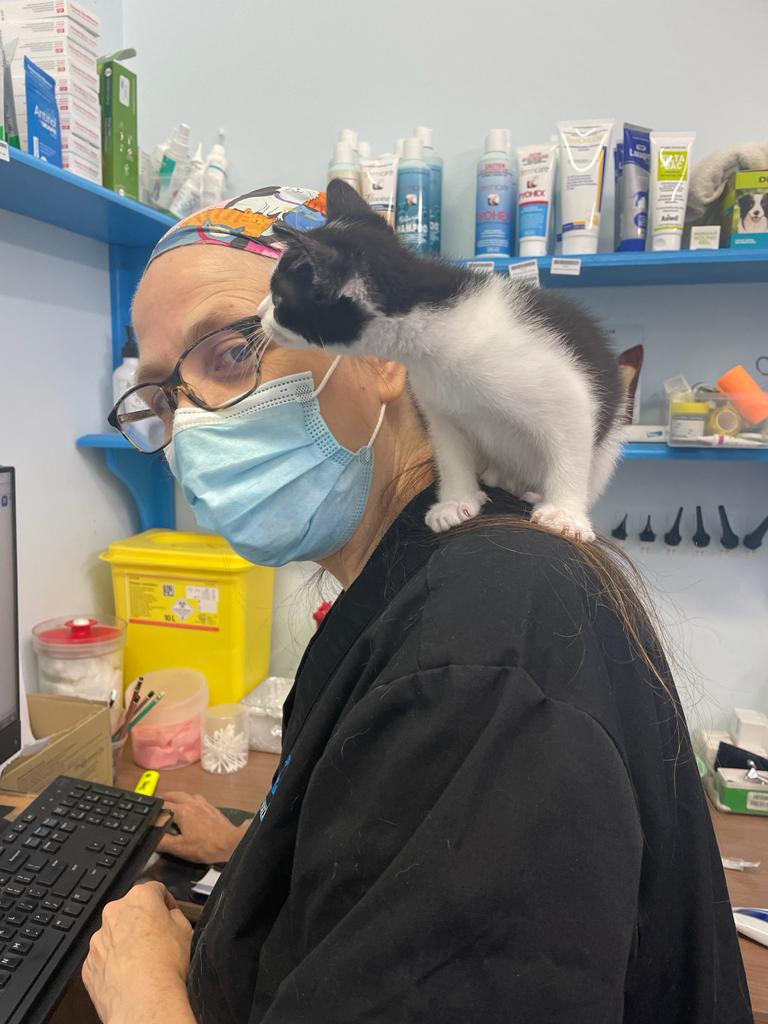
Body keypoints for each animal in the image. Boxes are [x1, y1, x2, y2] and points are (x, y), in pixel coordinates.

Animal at [259, 180, 626, 544]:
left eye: (278, 298)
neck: (439, 337)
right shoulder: (442, 408)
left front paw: (564, 513)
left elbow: (570, 449)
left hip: (609, 443)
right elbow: (451, 452)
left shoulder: (567, 395)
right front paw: (456, 501)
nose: (260, 314)